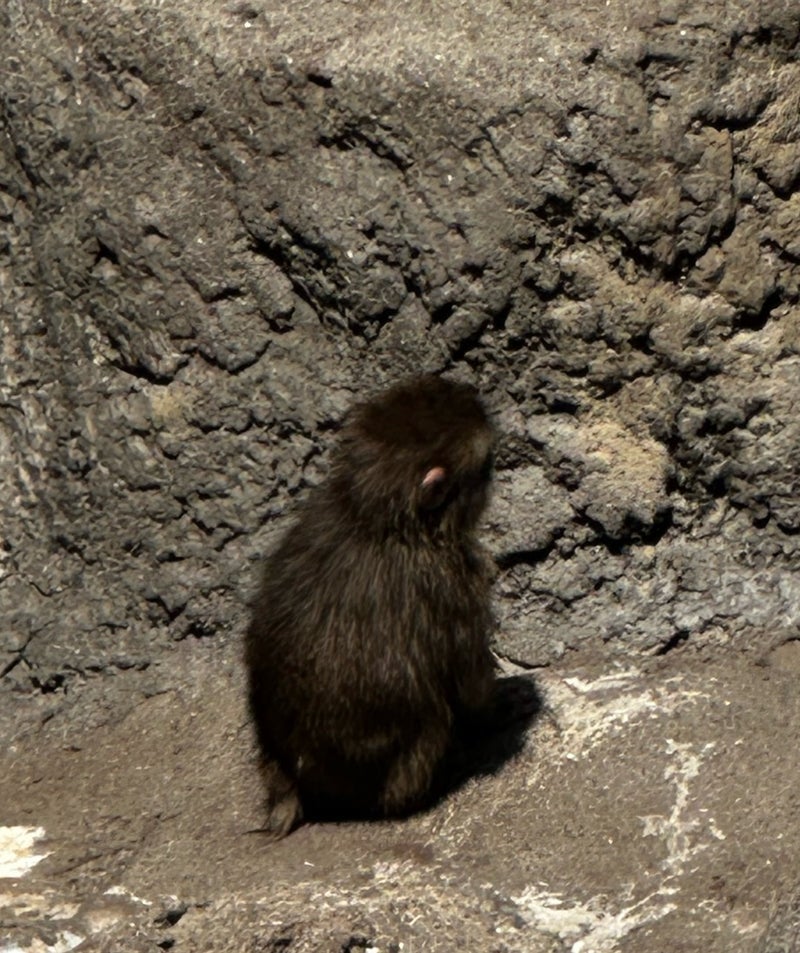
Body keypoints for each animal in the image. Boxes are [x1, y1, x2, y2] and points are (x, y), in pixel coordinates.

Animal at [245, 375, 497, 836]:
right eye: (485, 468)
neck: (372, 516)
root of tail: (293, 779)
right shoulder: (451, 583)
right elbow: (469, 678)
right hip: (403, 769)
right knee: (433, 720)